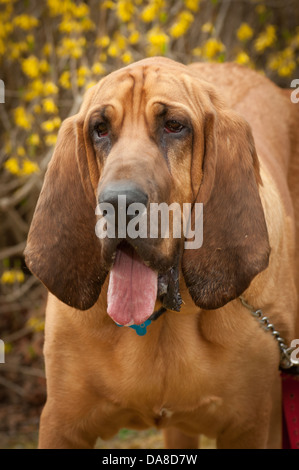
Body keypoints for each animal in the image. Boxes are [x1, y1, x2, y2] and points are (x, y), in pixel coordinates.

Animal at [25, 57, 299, 450]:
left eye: (174, 126)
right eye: (99, 129)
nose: (118, 203)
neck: (161, 322)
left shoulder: (251, 427)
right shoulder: (61, 423)